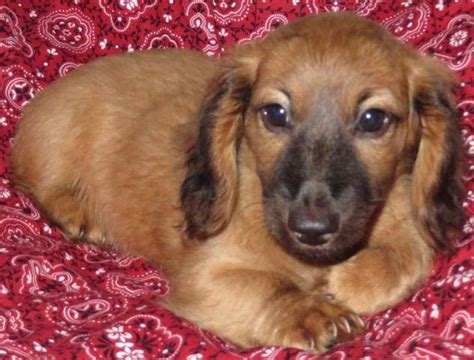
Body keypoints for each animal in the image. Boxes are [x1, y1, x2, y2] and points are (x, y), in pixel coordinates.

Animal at [10, 13, 462, 352]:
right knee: (35, 183)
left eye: (373, 120)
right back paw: (75, 209)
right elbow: (270, 289)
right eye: (275, 114)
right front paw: (314, 311)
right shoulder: (206, 279)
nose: (311, 229)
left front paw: (352, 281)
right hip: (55, 140)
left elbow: (412, 252)